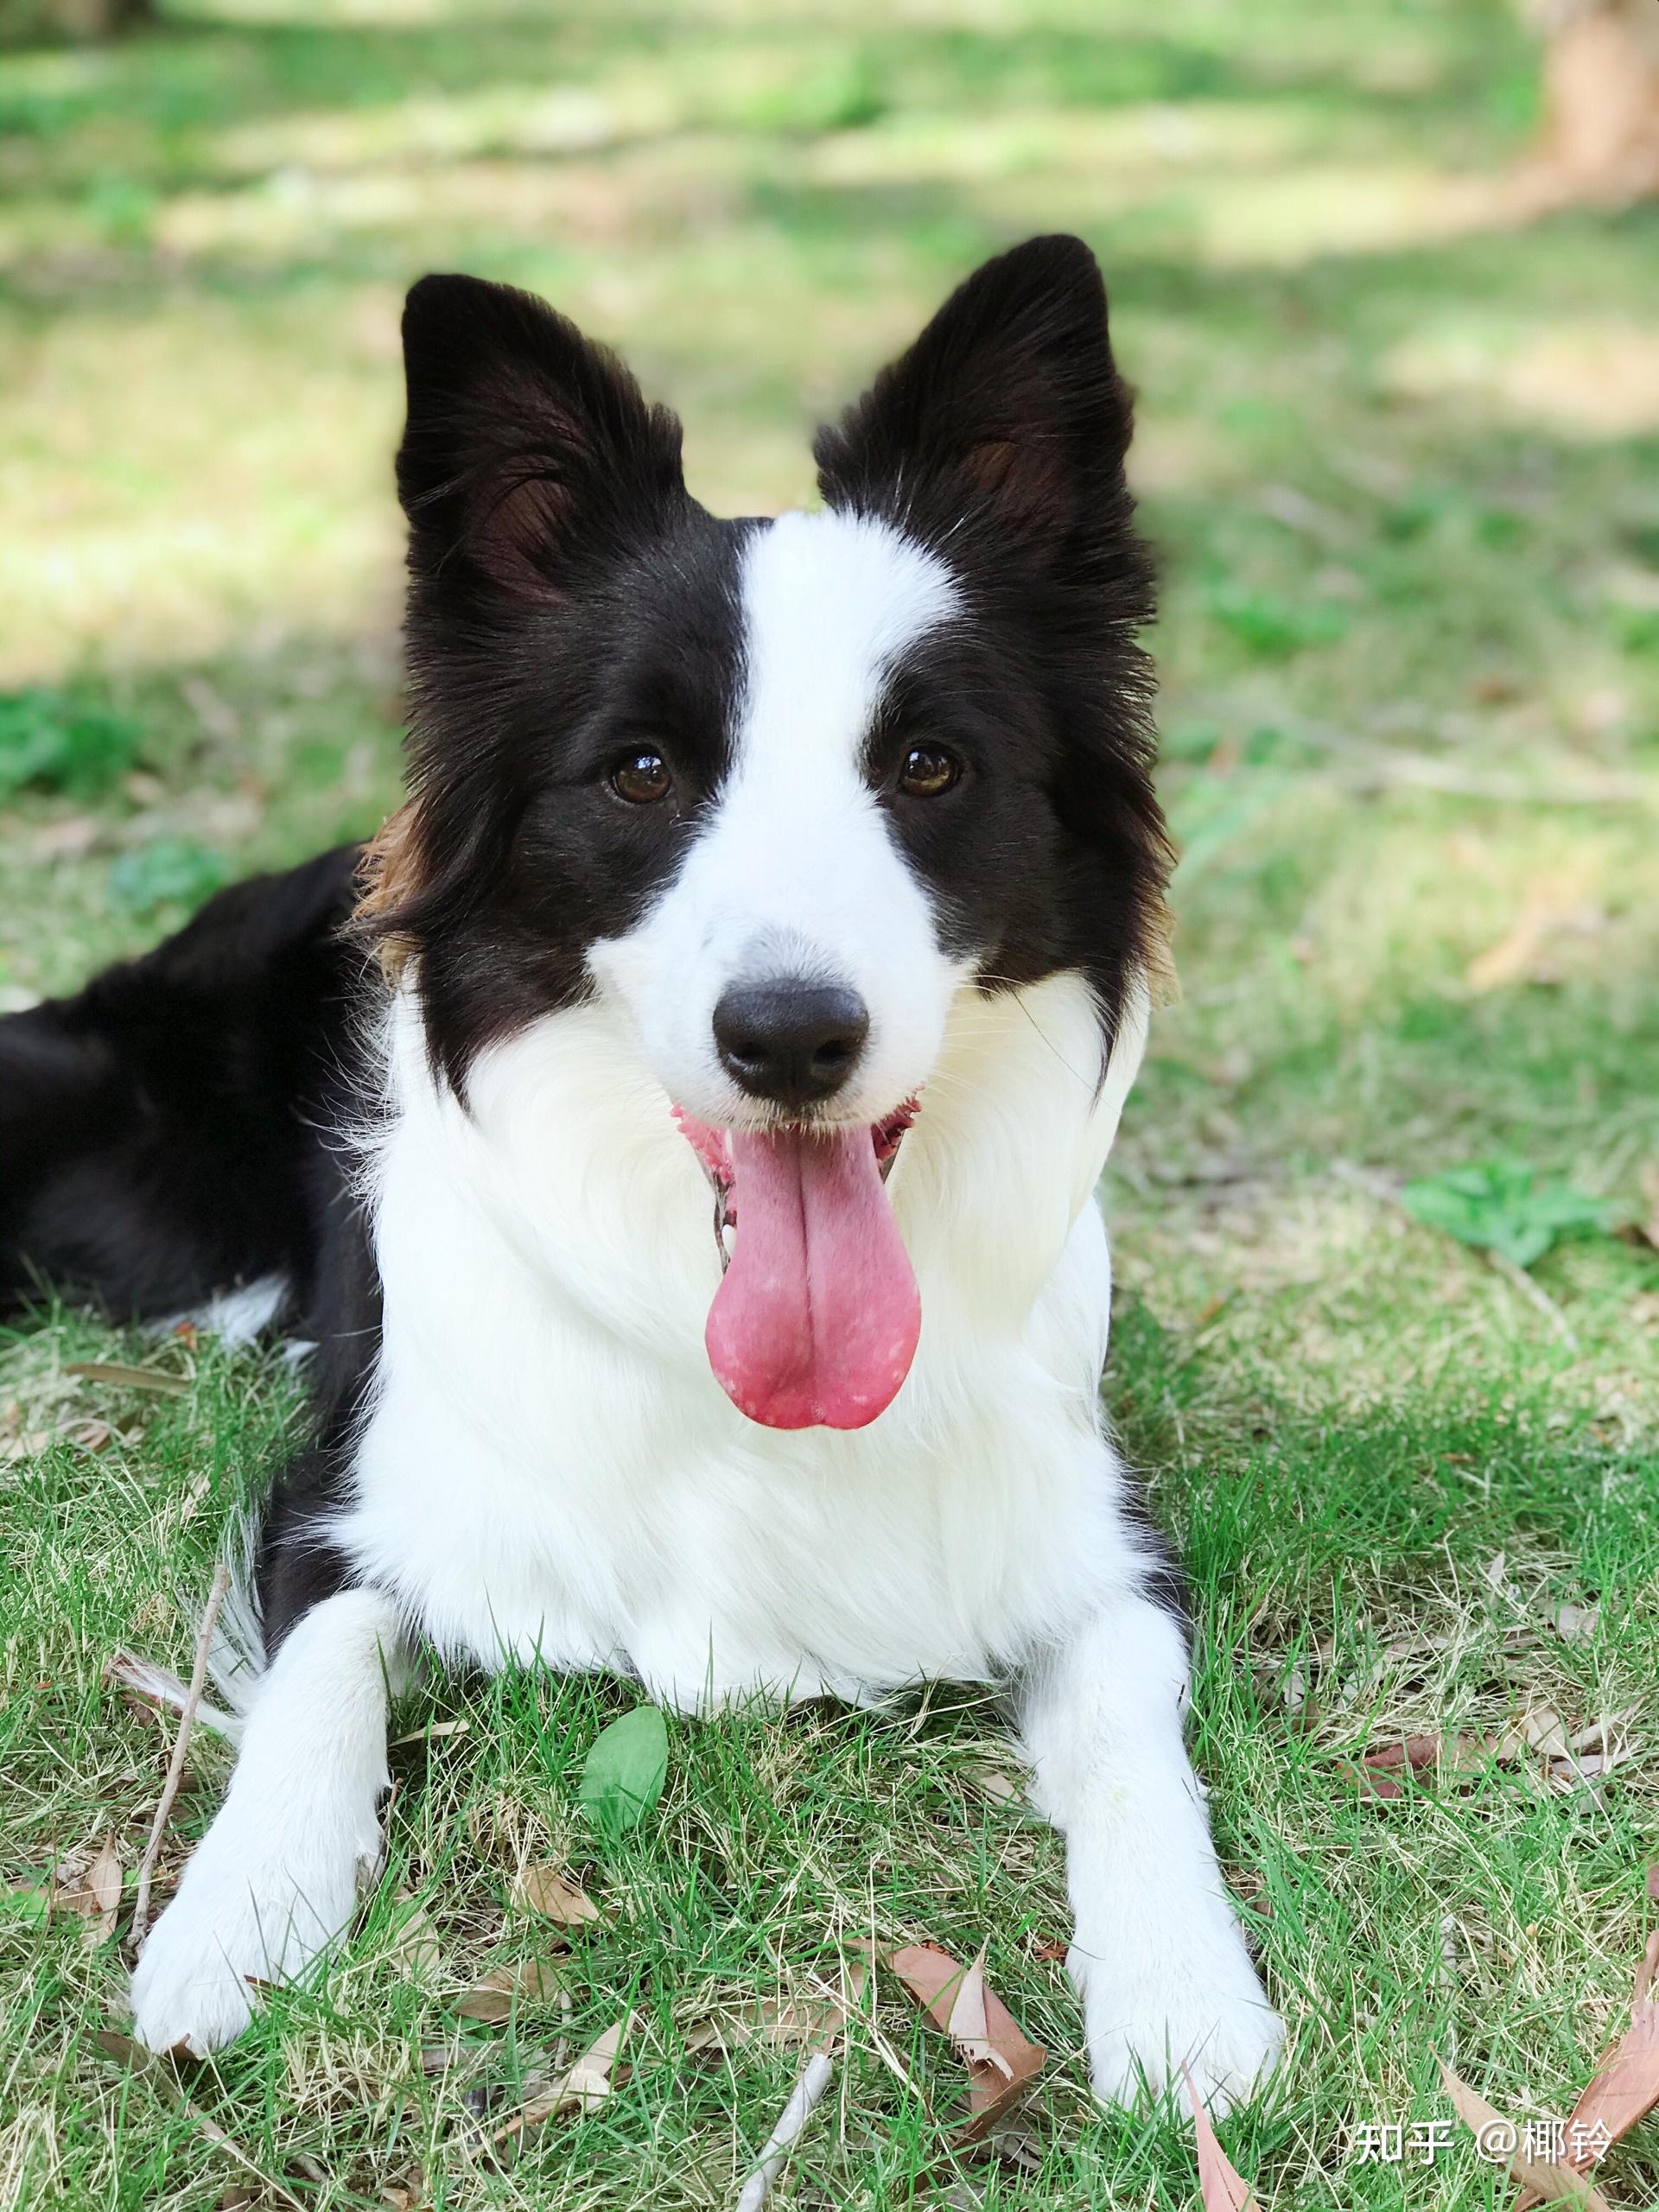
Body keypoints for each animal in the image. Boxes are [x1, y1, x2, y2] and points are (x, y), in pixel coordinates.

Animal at [0, 238, 1282, 2106]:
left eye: (929, 765)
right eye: (642, 770)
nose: (792, 1036)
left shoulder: (1101, 1542)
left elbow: (1134, 1741)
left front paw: (1189, 1996)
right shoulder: (343, 1496)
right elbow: (322, 1676)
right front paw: (233, 1916)